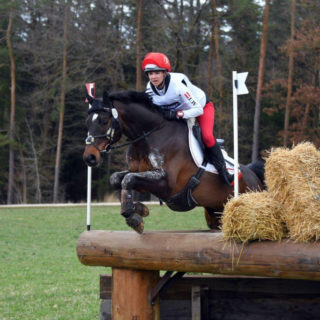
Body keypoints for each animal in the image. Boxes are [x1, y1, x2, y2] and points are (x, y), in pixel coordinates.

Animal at [83, 89, 264, 232]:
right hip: (215, 213)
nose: (89, 157)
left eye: (104, 121)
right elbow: (119, 179)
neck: (150, 135)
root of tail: (252, 175)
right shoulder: (141, 173)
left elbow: (128, 180)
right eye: (88, 122)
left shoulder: (167, 183)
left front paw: (134, 217)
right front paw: (139, 209)